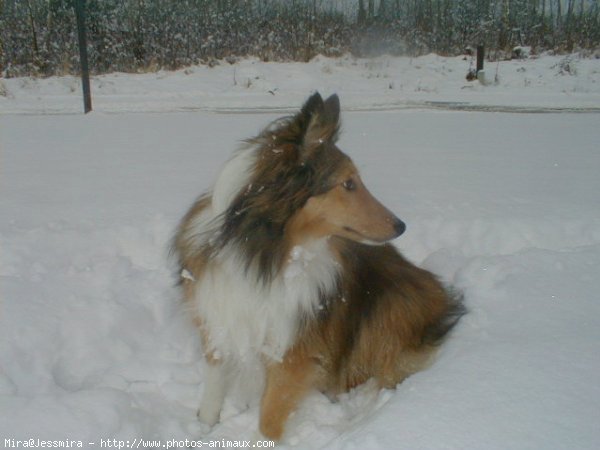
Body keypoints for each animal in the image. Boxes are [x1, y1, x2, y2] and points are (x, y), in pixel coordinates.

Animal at [171, 92, 466, 442]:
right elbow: (214, 382)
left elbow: (269, 415)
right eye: (348, 184)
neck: (266, 255)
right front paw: (204, 426)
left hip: (391, 306)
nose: (401, 226)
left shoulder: (293, 347)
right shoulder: (218, 316)